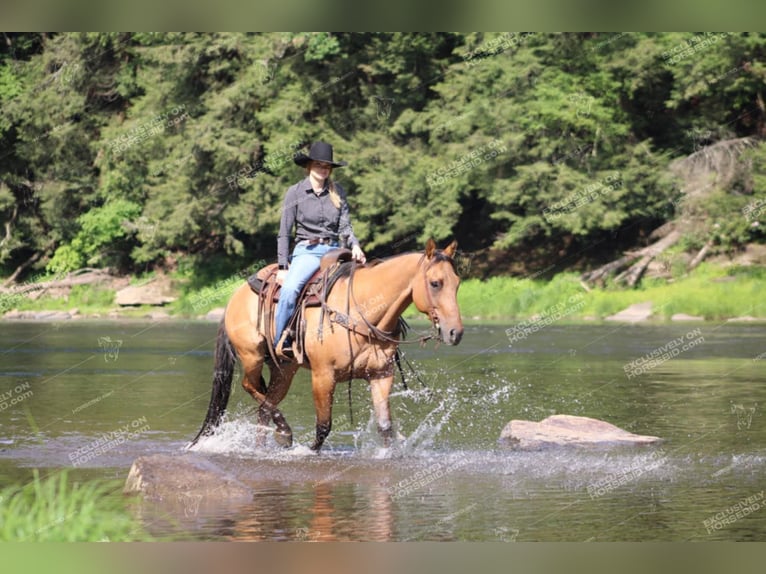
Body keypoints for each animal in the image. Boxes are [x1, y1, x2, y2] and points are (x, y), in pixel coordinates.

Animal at [190, 240, 468, 454]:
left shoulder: (381, 375)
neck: (361, 311)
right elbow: (323, 427)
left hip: (284, 369)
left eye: (457, 283)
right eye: (435, 283)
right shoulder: (323, 375)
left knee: (265, 404)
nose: (455, 333)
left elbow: (385, 427)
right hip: (251, 356)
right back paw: (285, 433)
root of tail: (235, 296)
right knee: (250, 386)